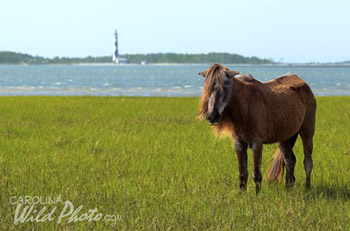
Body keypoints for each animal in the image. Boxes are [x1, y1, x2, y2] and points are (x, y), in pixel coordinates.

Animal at [198, 63, 316, 193]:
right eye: (207, 88)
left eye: (224, 87)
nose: (212, 116)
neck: (245, 108)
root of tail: (304, 84)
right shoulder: (239, 144)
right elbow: (242, 174)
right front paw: (241, 194)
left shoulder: (256, 144)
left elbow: (256, 174)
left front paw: (257, 195)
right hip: (285, 138)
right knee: (290, 161)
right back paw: (288, 187)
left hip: (307, 132)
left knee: (307, 162)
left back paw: (307, 187)